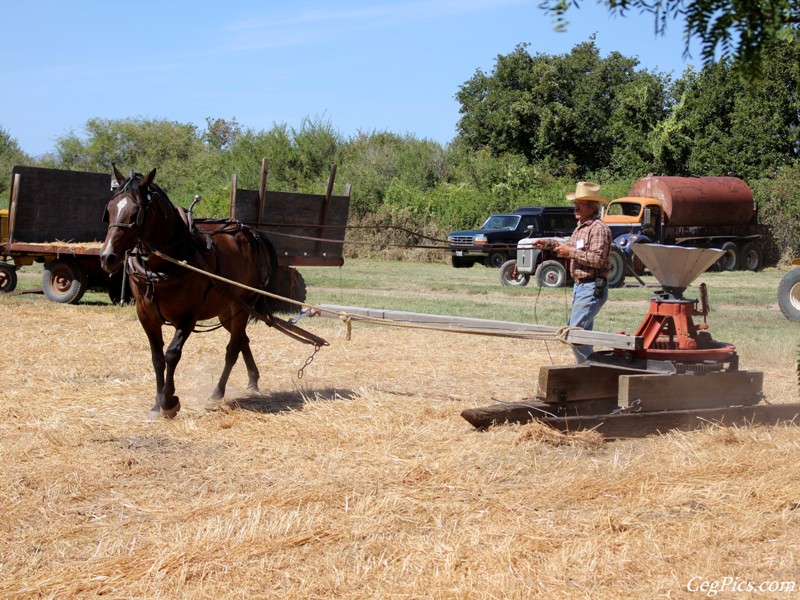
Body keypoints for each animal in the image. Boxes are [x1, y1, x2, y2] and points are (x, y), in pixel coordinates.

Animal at [99, 164, 282, 418]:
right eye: (109, 210)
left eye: (135, 214)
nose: (107, 257)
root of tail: (252, 233)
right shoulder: (145, 314)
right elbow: (157, 358)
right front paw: (157, 403)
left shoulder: (188, 315)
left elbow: (172, 354)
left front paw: (169, 402)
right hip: (226, 310)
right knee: (242, 339)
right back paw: (253, 380)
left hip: (241, 305)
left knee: (233, 348)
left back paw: (218, 391)